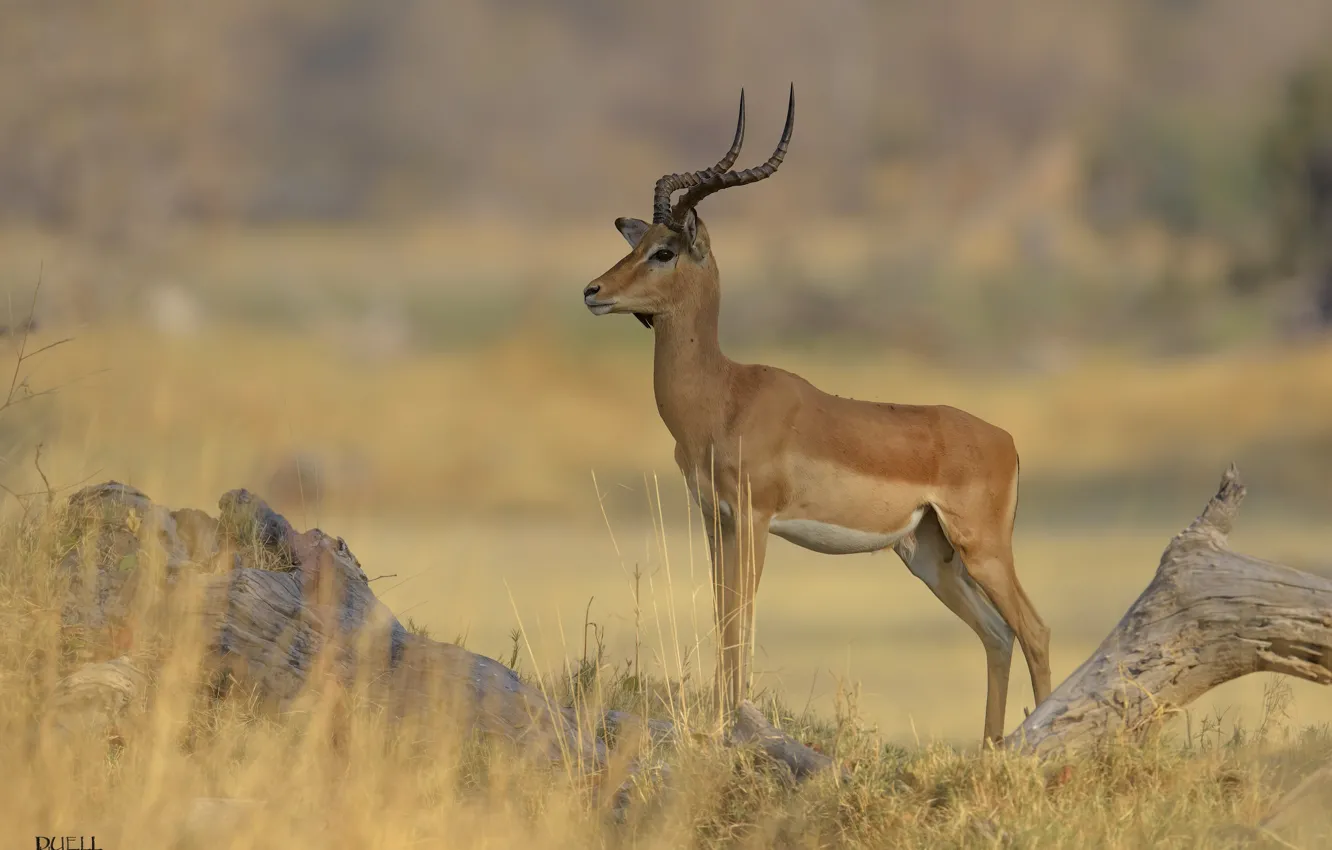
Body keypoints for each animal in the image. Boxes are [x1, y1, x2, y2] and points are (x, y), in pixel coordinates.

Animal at [582, 86, 1051, 744]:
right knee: (997, 634)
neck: (724, 395)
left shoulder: (753, 518)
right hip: (928, 557)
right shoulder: (714, 519)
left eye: (664, 250)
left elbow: (742, 618)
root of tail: (1006, 440)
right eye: (638, 242)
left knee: (1033, 630)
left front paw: (734, 723)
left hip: (983, 547)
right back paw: (990, 749)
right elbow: (723, 614)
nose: (593, 291)